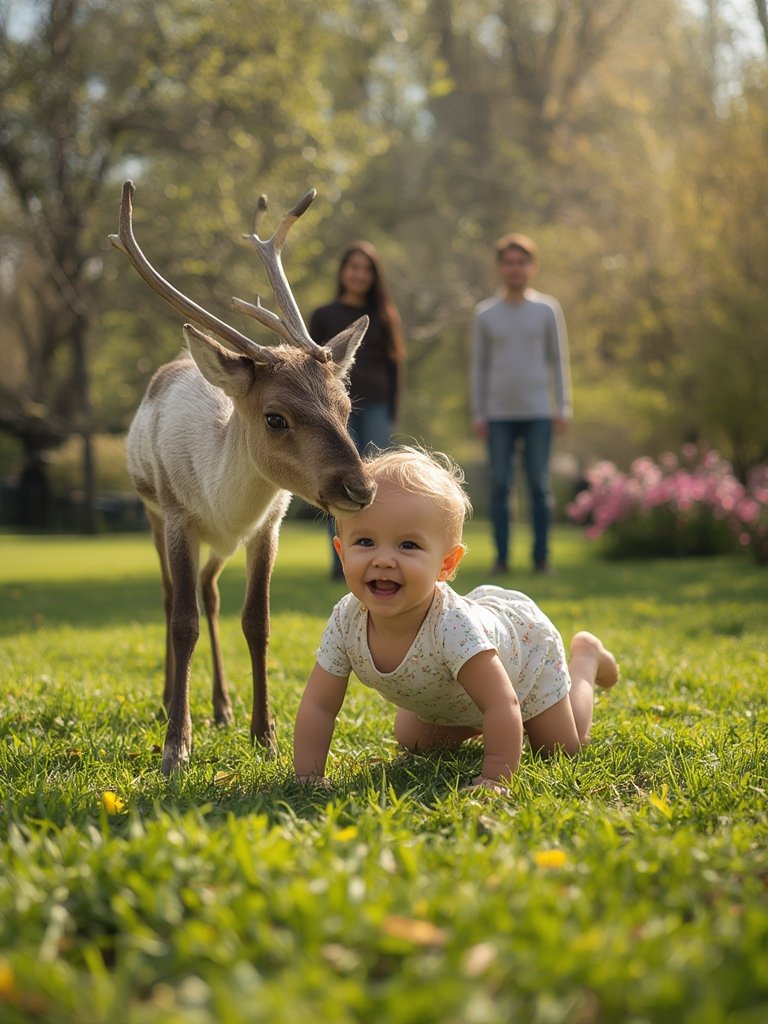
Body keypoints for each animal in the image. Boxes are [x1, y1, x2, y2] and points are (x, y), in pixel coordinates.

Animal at [108, 181, 375, 775]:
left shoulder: (265, 527)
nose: (361, 488)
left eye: (347, 406)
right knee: (172, 595)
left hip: (221, 544)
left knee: (209, 592)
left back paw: (222, 706)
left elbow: (258, 622)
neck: (223, 501)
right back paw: (169, 701)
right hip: (153, 512)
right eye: (275, 417)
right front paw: (175, 748)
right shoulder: (178, 515)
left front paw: (265, 734)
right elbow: (181, 620)